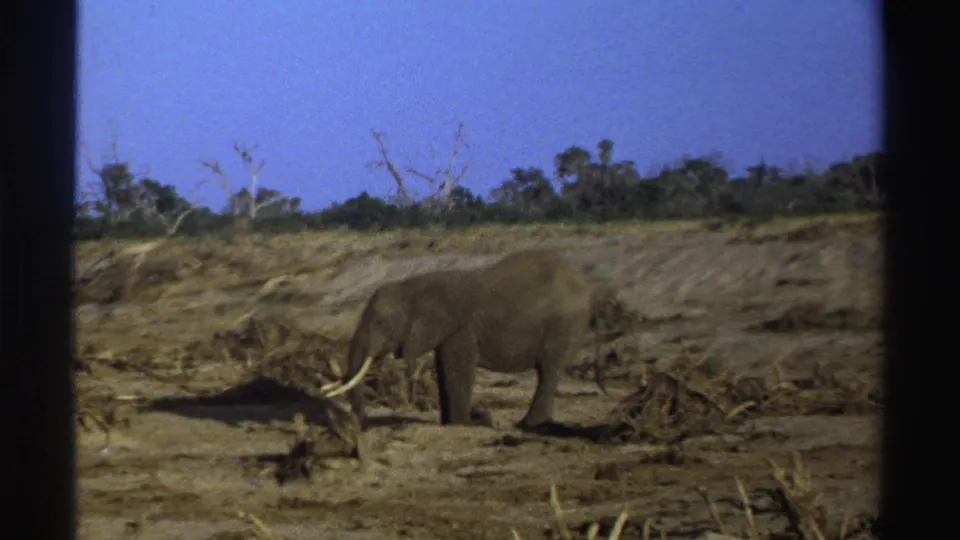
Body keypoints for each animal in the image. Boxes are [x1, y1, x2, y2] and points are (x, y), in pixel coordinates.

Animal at [320, 249, 596, 431]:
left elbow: (457, 370)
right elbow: (443, 369)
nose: (361, 423)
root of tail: (584, 284)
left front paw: (466, 423)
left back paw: (527, 425)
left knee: (548, 370)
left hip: (564, 325)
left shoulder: (461, 329)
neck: (415, 286)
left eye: (380, 323)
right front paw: (455, 423)